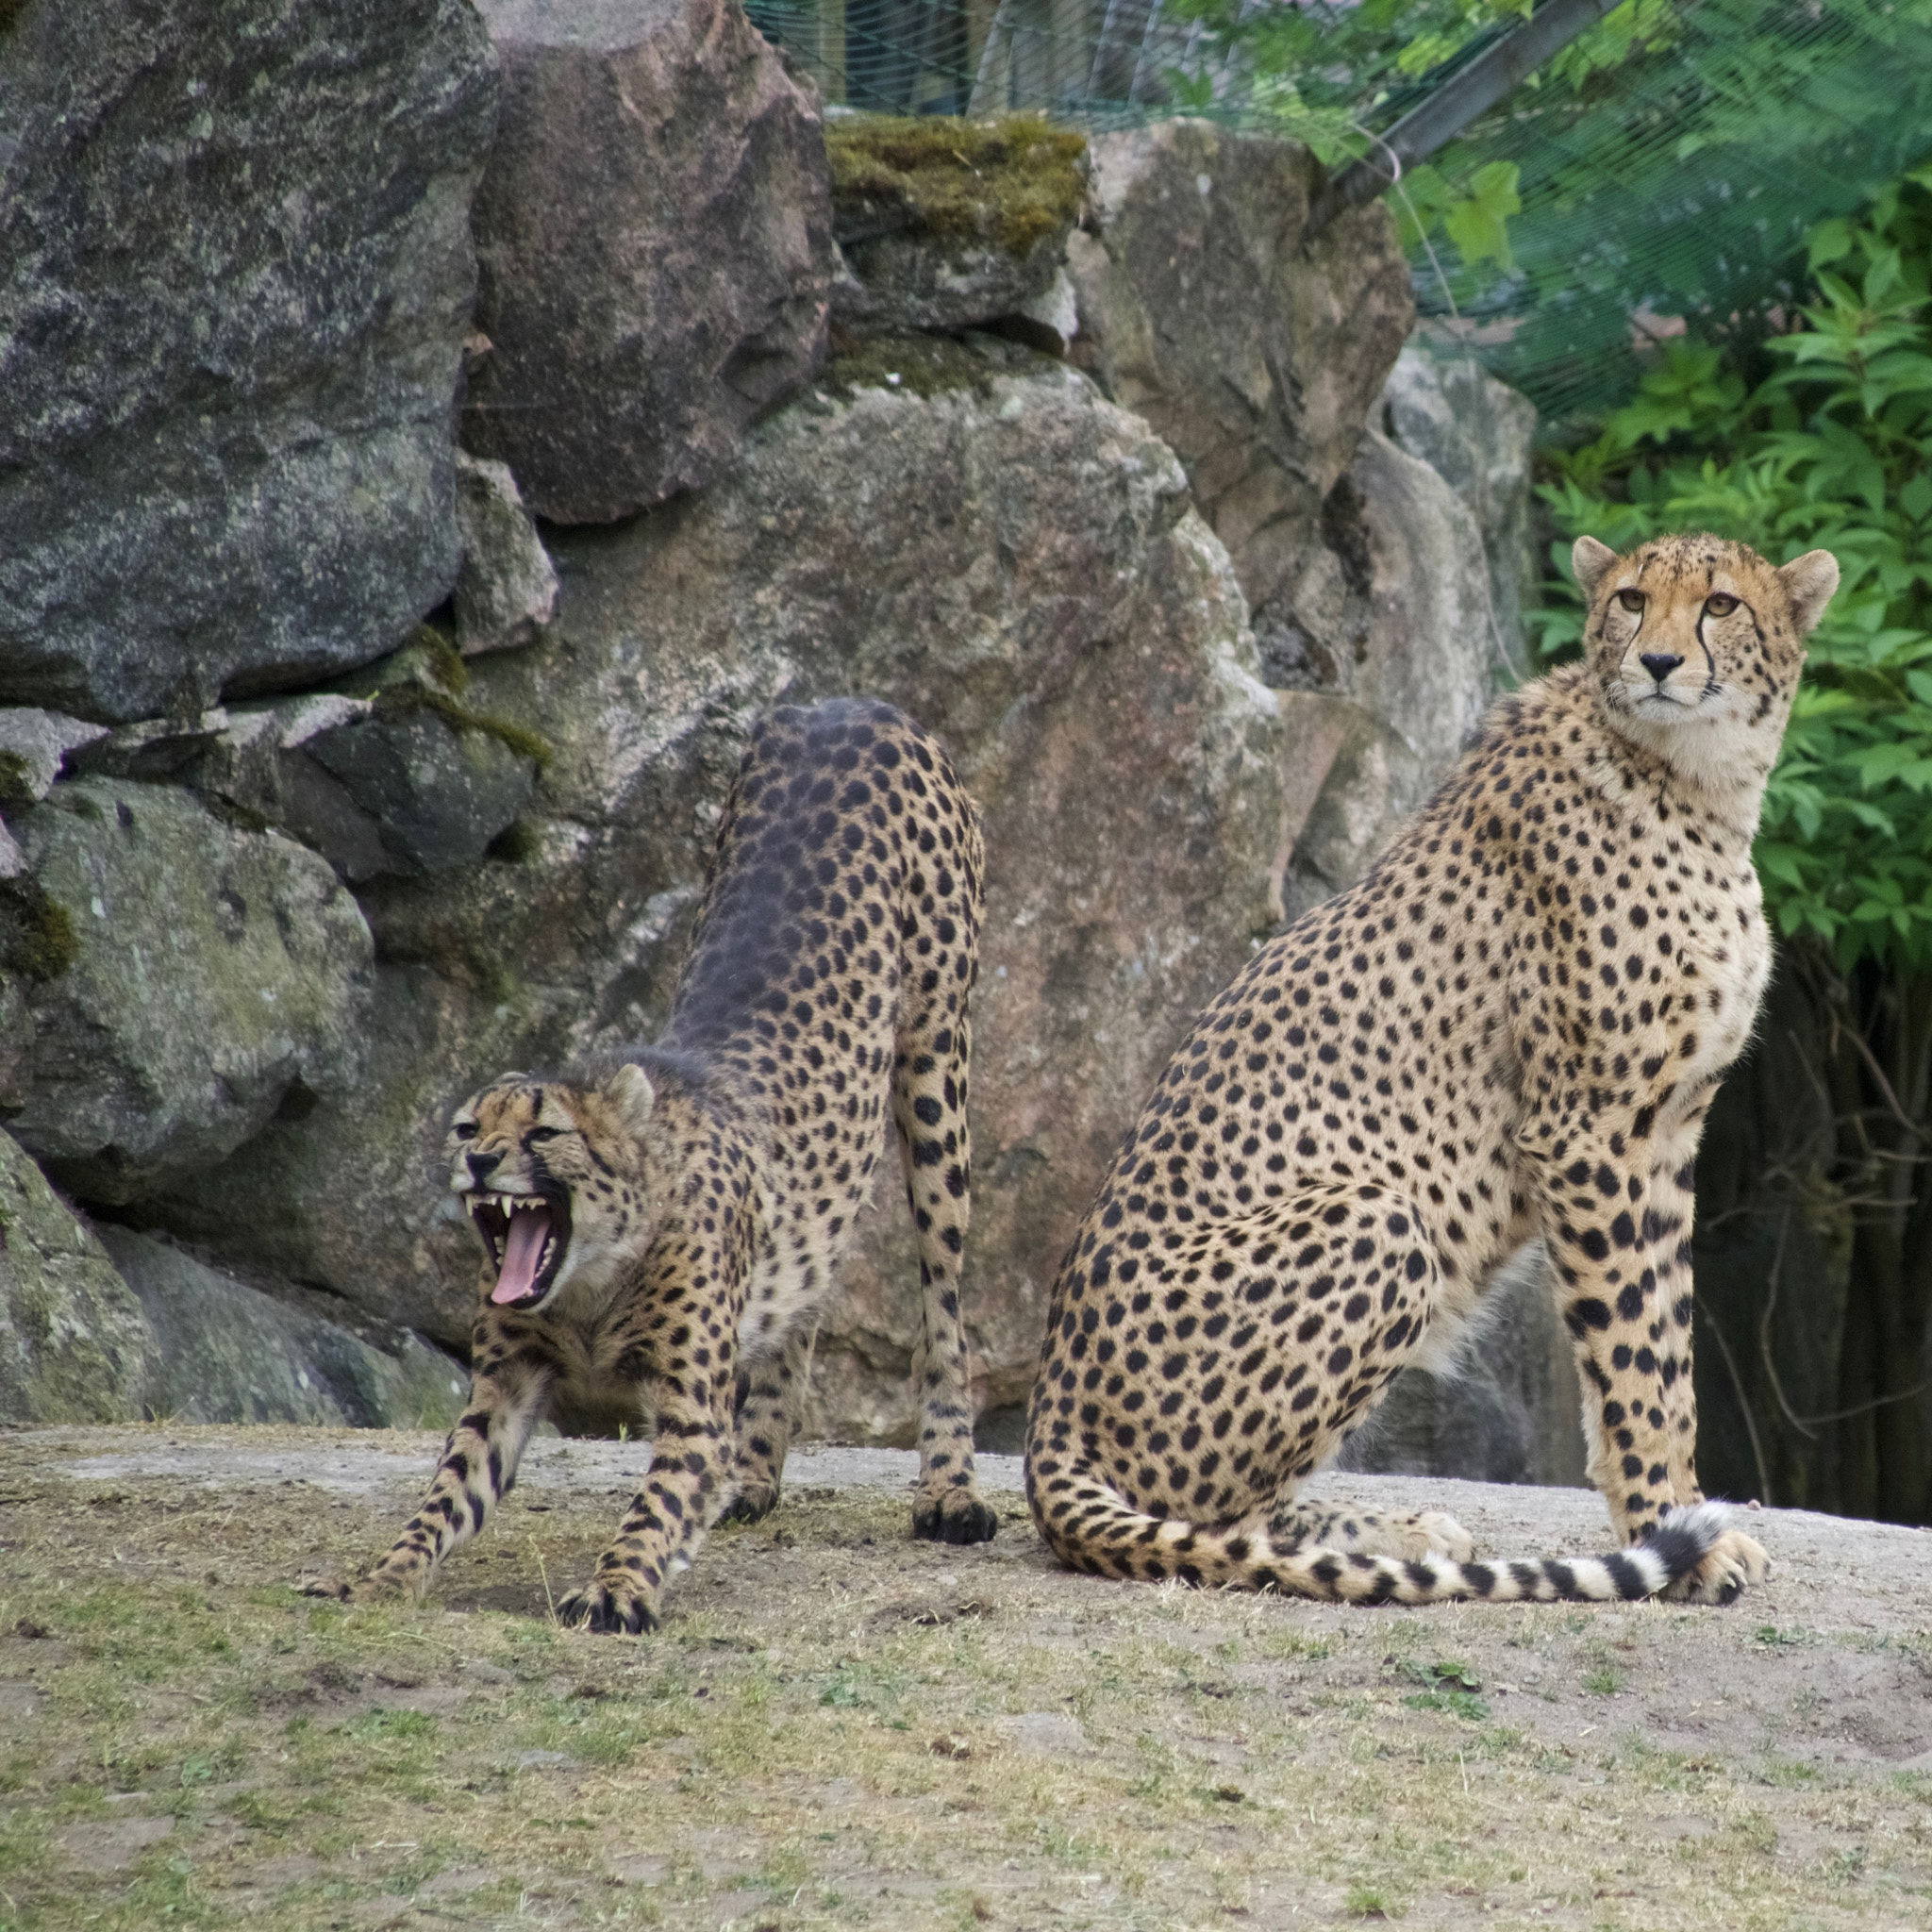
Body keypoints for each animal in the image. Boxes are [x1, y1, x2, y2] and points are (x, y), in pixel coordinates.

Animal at [360, 697, 999, 1632]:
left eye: (542, 1133)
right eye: (467, 1125)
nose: (476, 1162)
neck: (593, 1277)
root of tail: (848, 704)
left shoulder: (694, 1407)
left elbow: (656, 1504)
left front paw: (615, 1588)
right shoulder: (505, 1383)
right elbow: (446, 1493)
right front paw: (377, 1577)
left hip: (935, 1076)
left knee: (945, 1304)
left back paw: (948, 1490)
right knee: (808, 1290)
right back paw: (758, 1471)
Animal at [1026, 532, 1839, 1607]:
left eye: (1719, 604)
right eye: (1630, 599)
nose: (1660, 663)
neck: (1695, 780)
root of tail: (1044, 1423)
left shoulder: (1663, 1135)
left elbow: (1663, 1349)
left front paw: (1678, 1514)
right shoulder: (1588, 1133)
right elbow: (1631, 1353)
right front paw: (1671, 1539)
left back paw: (1404, 1532)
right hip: (1378, 1214)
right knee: (1212, 1521)